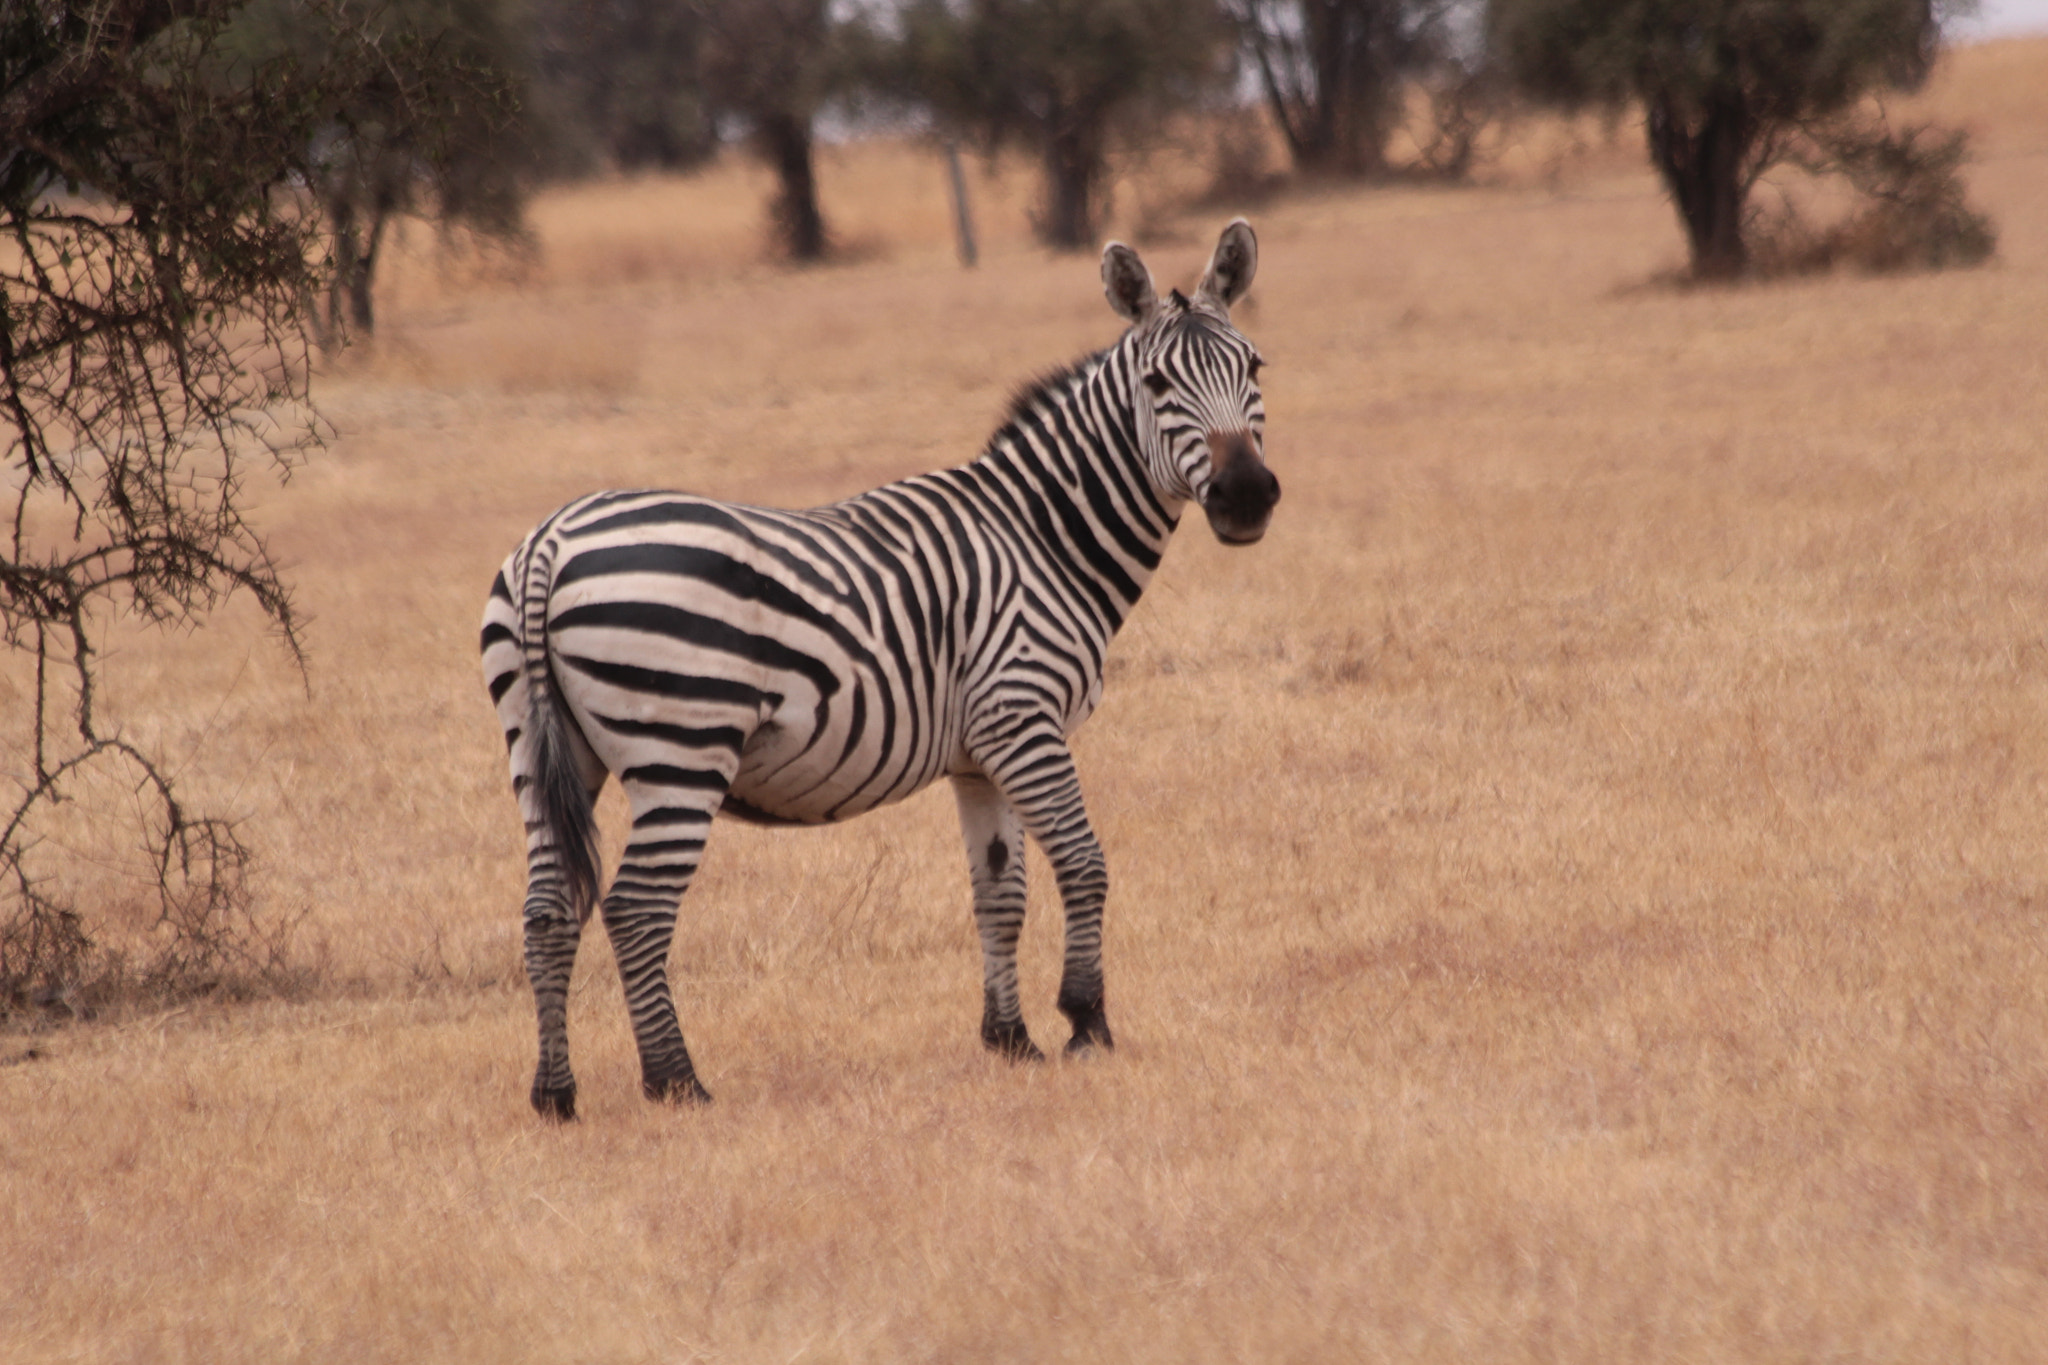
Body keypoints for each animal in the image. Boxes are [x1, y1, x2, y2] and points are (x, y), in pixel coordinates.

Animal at [480, 219, 1279, 1119]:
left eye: (1254, 367)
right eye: (1156, 381)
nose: (1248, 495)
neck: (1041, 537)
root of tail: (550, 541)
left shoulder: (979, 755)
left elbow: (999, 890)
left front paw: (1010, 1039)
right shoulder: (1025, 719)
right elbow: (1083, 861)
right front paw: (1086, 1022)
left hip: (544, 750)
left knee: (548, 910)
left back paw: (555, 1093)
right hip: (681, 746)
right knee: (635, 908)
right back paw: (677, 1081)